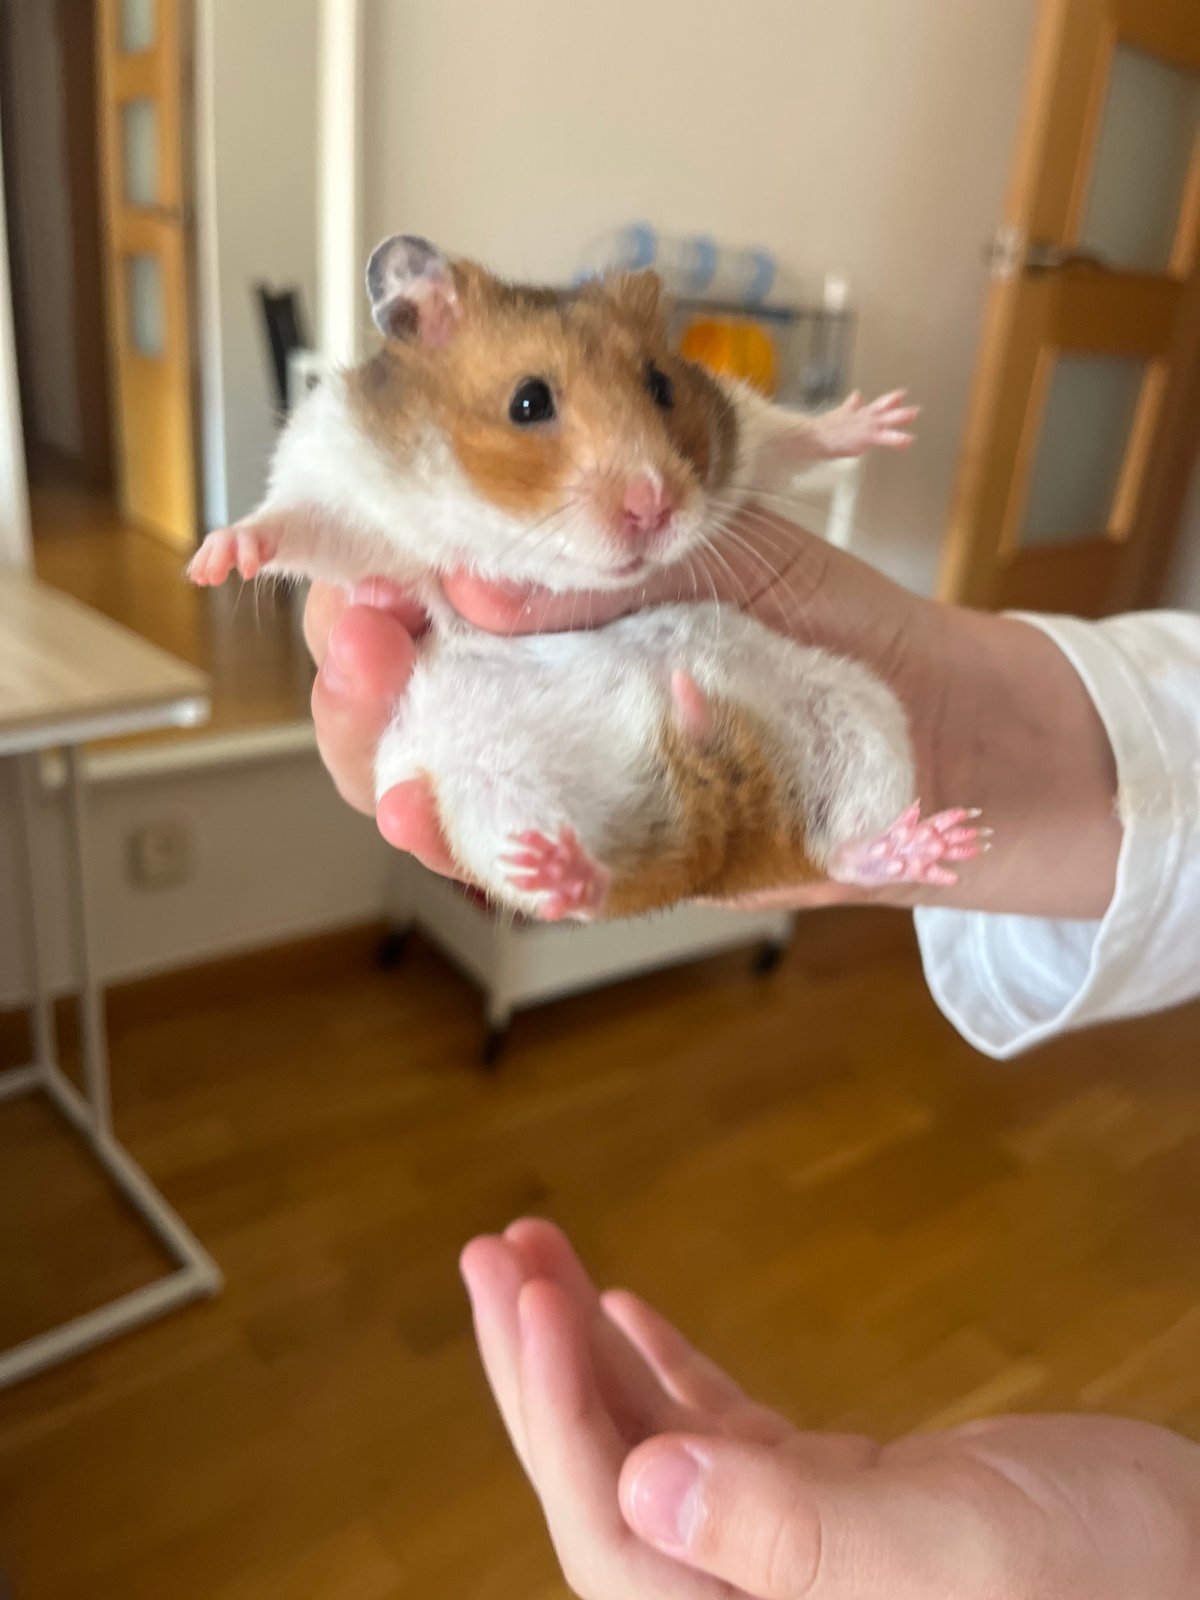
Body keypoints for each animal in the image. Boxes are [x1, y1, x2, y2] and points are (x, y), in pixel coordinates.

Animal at [189, 235, 985, 919]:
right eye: (528, 401)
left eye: (662, 385)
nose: (656, 506)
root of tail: (722, 815)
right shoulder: (346, 482)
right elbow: (300, 526)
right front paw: (214, 558)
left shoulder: (736, 433)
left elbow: (782, 438)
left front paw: (879, 420)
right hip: (489, 792)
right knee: (604, 883)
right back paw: (570, 871)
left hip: (859, 714)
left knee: (828, 851)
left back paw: (927, 845)